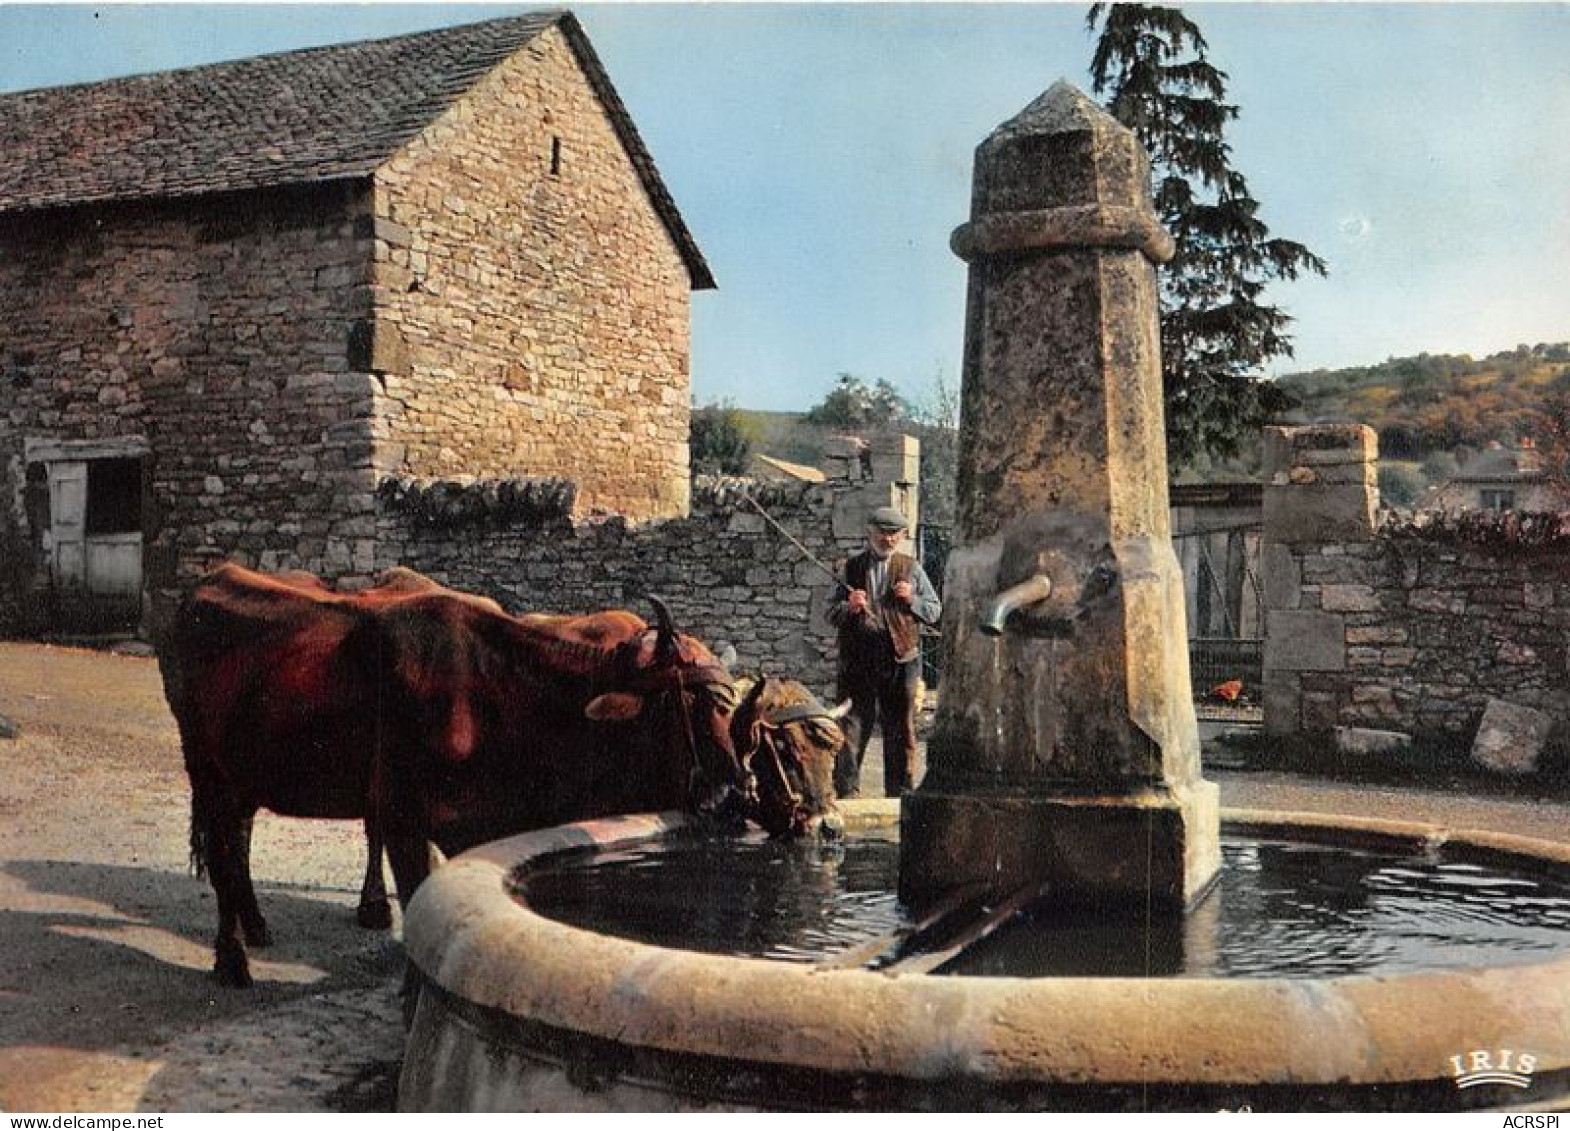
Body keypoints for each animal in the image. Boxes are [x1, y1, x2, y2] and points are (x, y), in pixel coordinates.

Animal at [160, 565, 753, 992]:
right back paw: (231, 959)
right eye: (694, 704)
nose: (733, 794)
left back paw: (255, 927)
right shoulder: (402, 817)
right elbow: (415, 896)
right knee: (222, 852)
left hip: (243, 773)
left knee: (237, 840)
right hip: (205, 768)